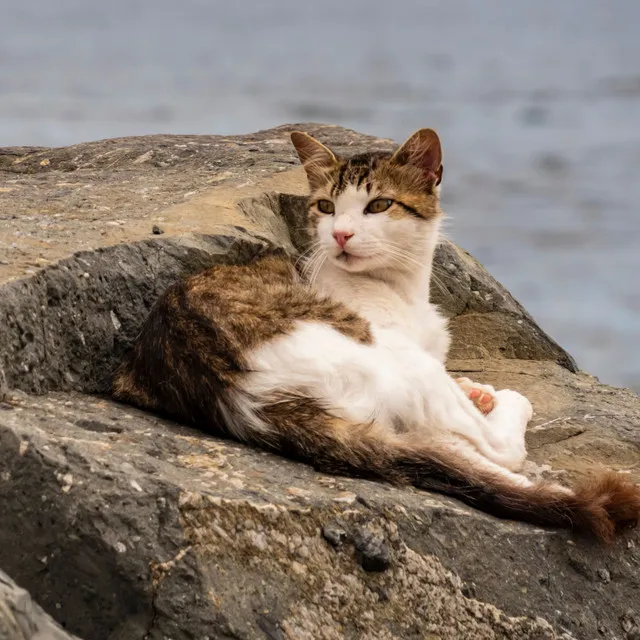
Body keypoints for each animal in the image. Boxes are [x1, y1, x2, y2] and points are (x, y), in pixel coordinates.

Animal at [111, 127, 640, 544]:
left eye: (379, 205)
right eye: (326, 207)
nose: (340, 235)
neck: (398, 289)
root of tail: (241, 396)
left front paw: (475, 390)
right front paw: (484, 396)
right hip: (394, 360)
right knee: (497, 451)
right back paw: (507, 410)